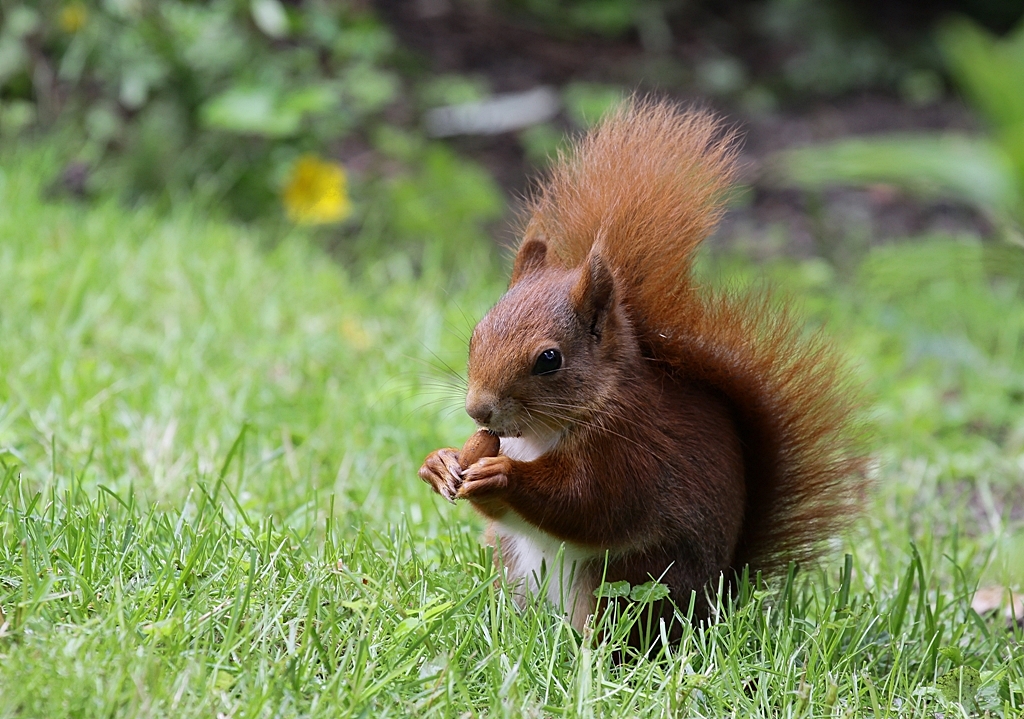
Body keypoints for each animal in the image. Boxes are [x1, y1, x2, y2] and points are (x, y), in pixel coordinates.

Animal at [419, 97, 868, 643]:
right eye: (474, 335)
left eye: (549, 359)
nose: (477, 410)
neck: (541, 434)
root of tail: (720, 600)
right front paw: (440, 463)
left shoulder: (630, 450)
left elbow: (588, 505)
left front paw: (503, 473)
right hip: (514, 565)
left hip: (628, 583)